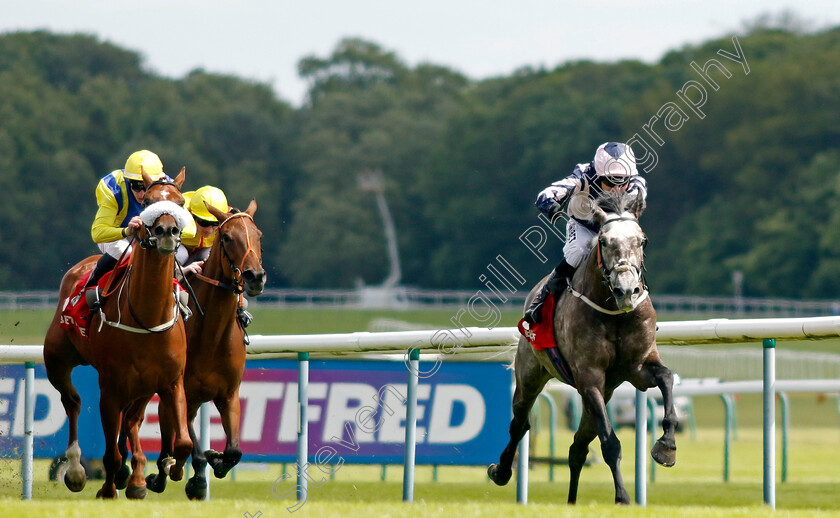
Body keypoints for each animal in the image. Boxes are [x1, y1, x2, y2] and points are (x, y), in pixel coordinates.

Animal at [44, 170, 194, 500]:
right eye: (148, 201)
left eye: (180, 202)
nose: (167, 231)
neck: (146, 318)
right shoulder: (109, 388)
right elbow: (111, 452)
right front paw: (108, 489)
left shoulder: (171, 382)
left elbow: (184, 442)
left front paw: (171, 470)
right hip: (56, 360)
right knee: (72, 401)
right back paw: (76, 469)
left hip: (142, 386)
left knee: (133, 420)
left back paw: (137, 475)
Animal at [118, 199, 266, 500]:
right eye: (227, 237)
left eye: (258, 235)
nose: (255, 277)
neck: (212, 336)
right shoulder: (177, 389)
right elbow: (184, 443)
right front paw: (183, 476)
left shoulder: (228, 394)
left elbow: (234, 450)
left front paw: (216, 459)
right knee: (130, 419)